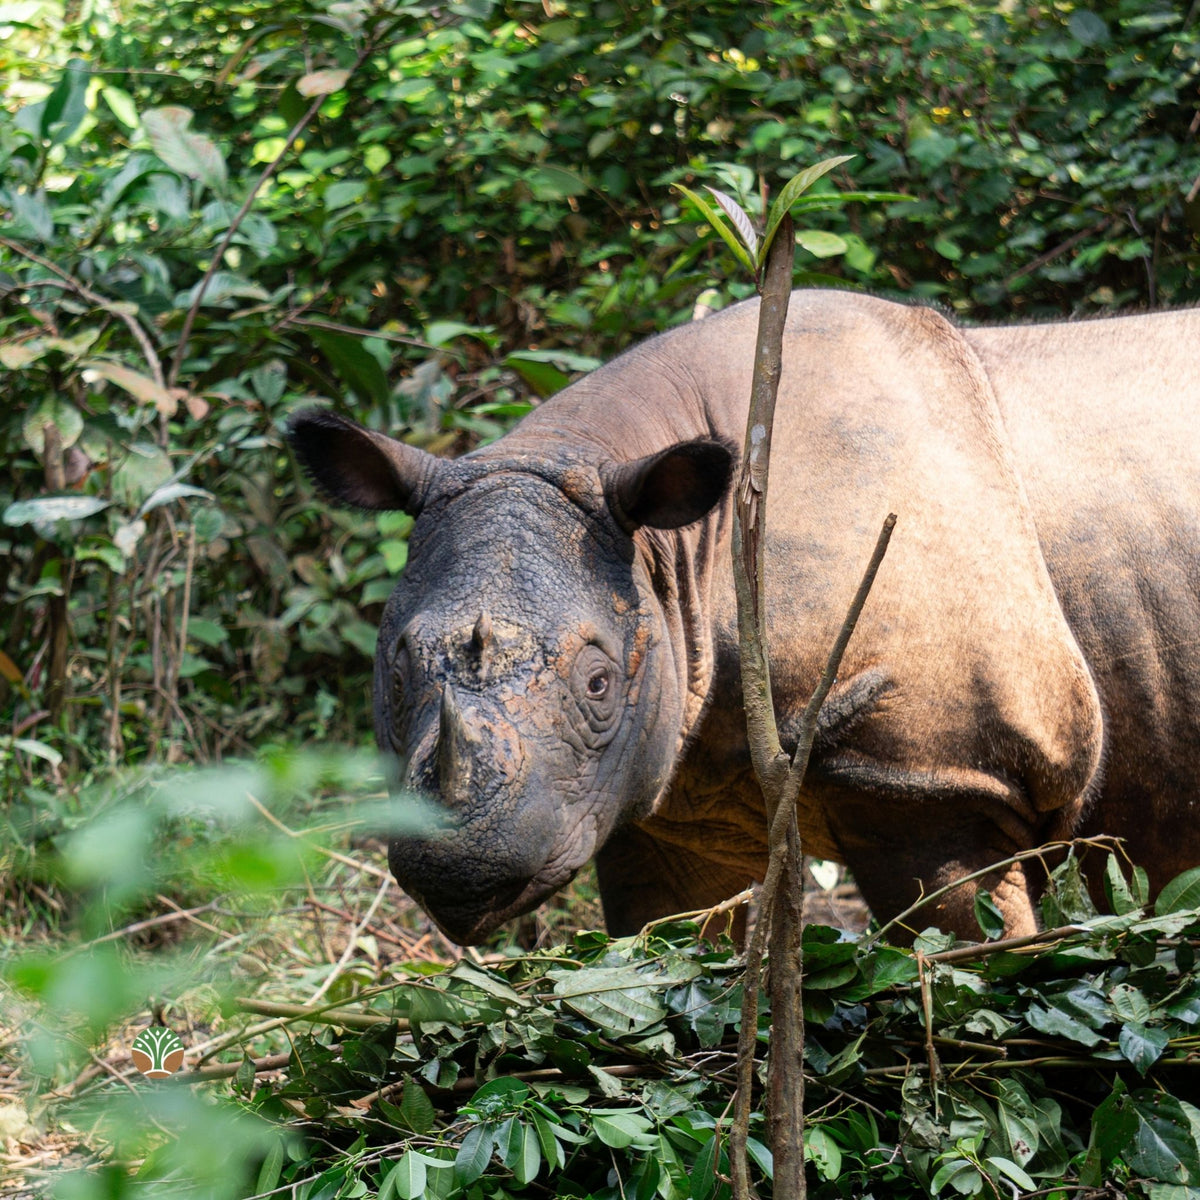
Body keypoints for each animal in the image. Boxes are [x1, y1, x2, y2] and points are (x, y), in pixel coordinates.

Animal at [289, 289, 1200, 945]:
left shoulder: (945, 775)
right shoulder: (665, 799)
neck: (676, 555)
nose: (463, 872)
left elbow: (967, 946)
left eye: (598, 683)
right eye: (394, 671)